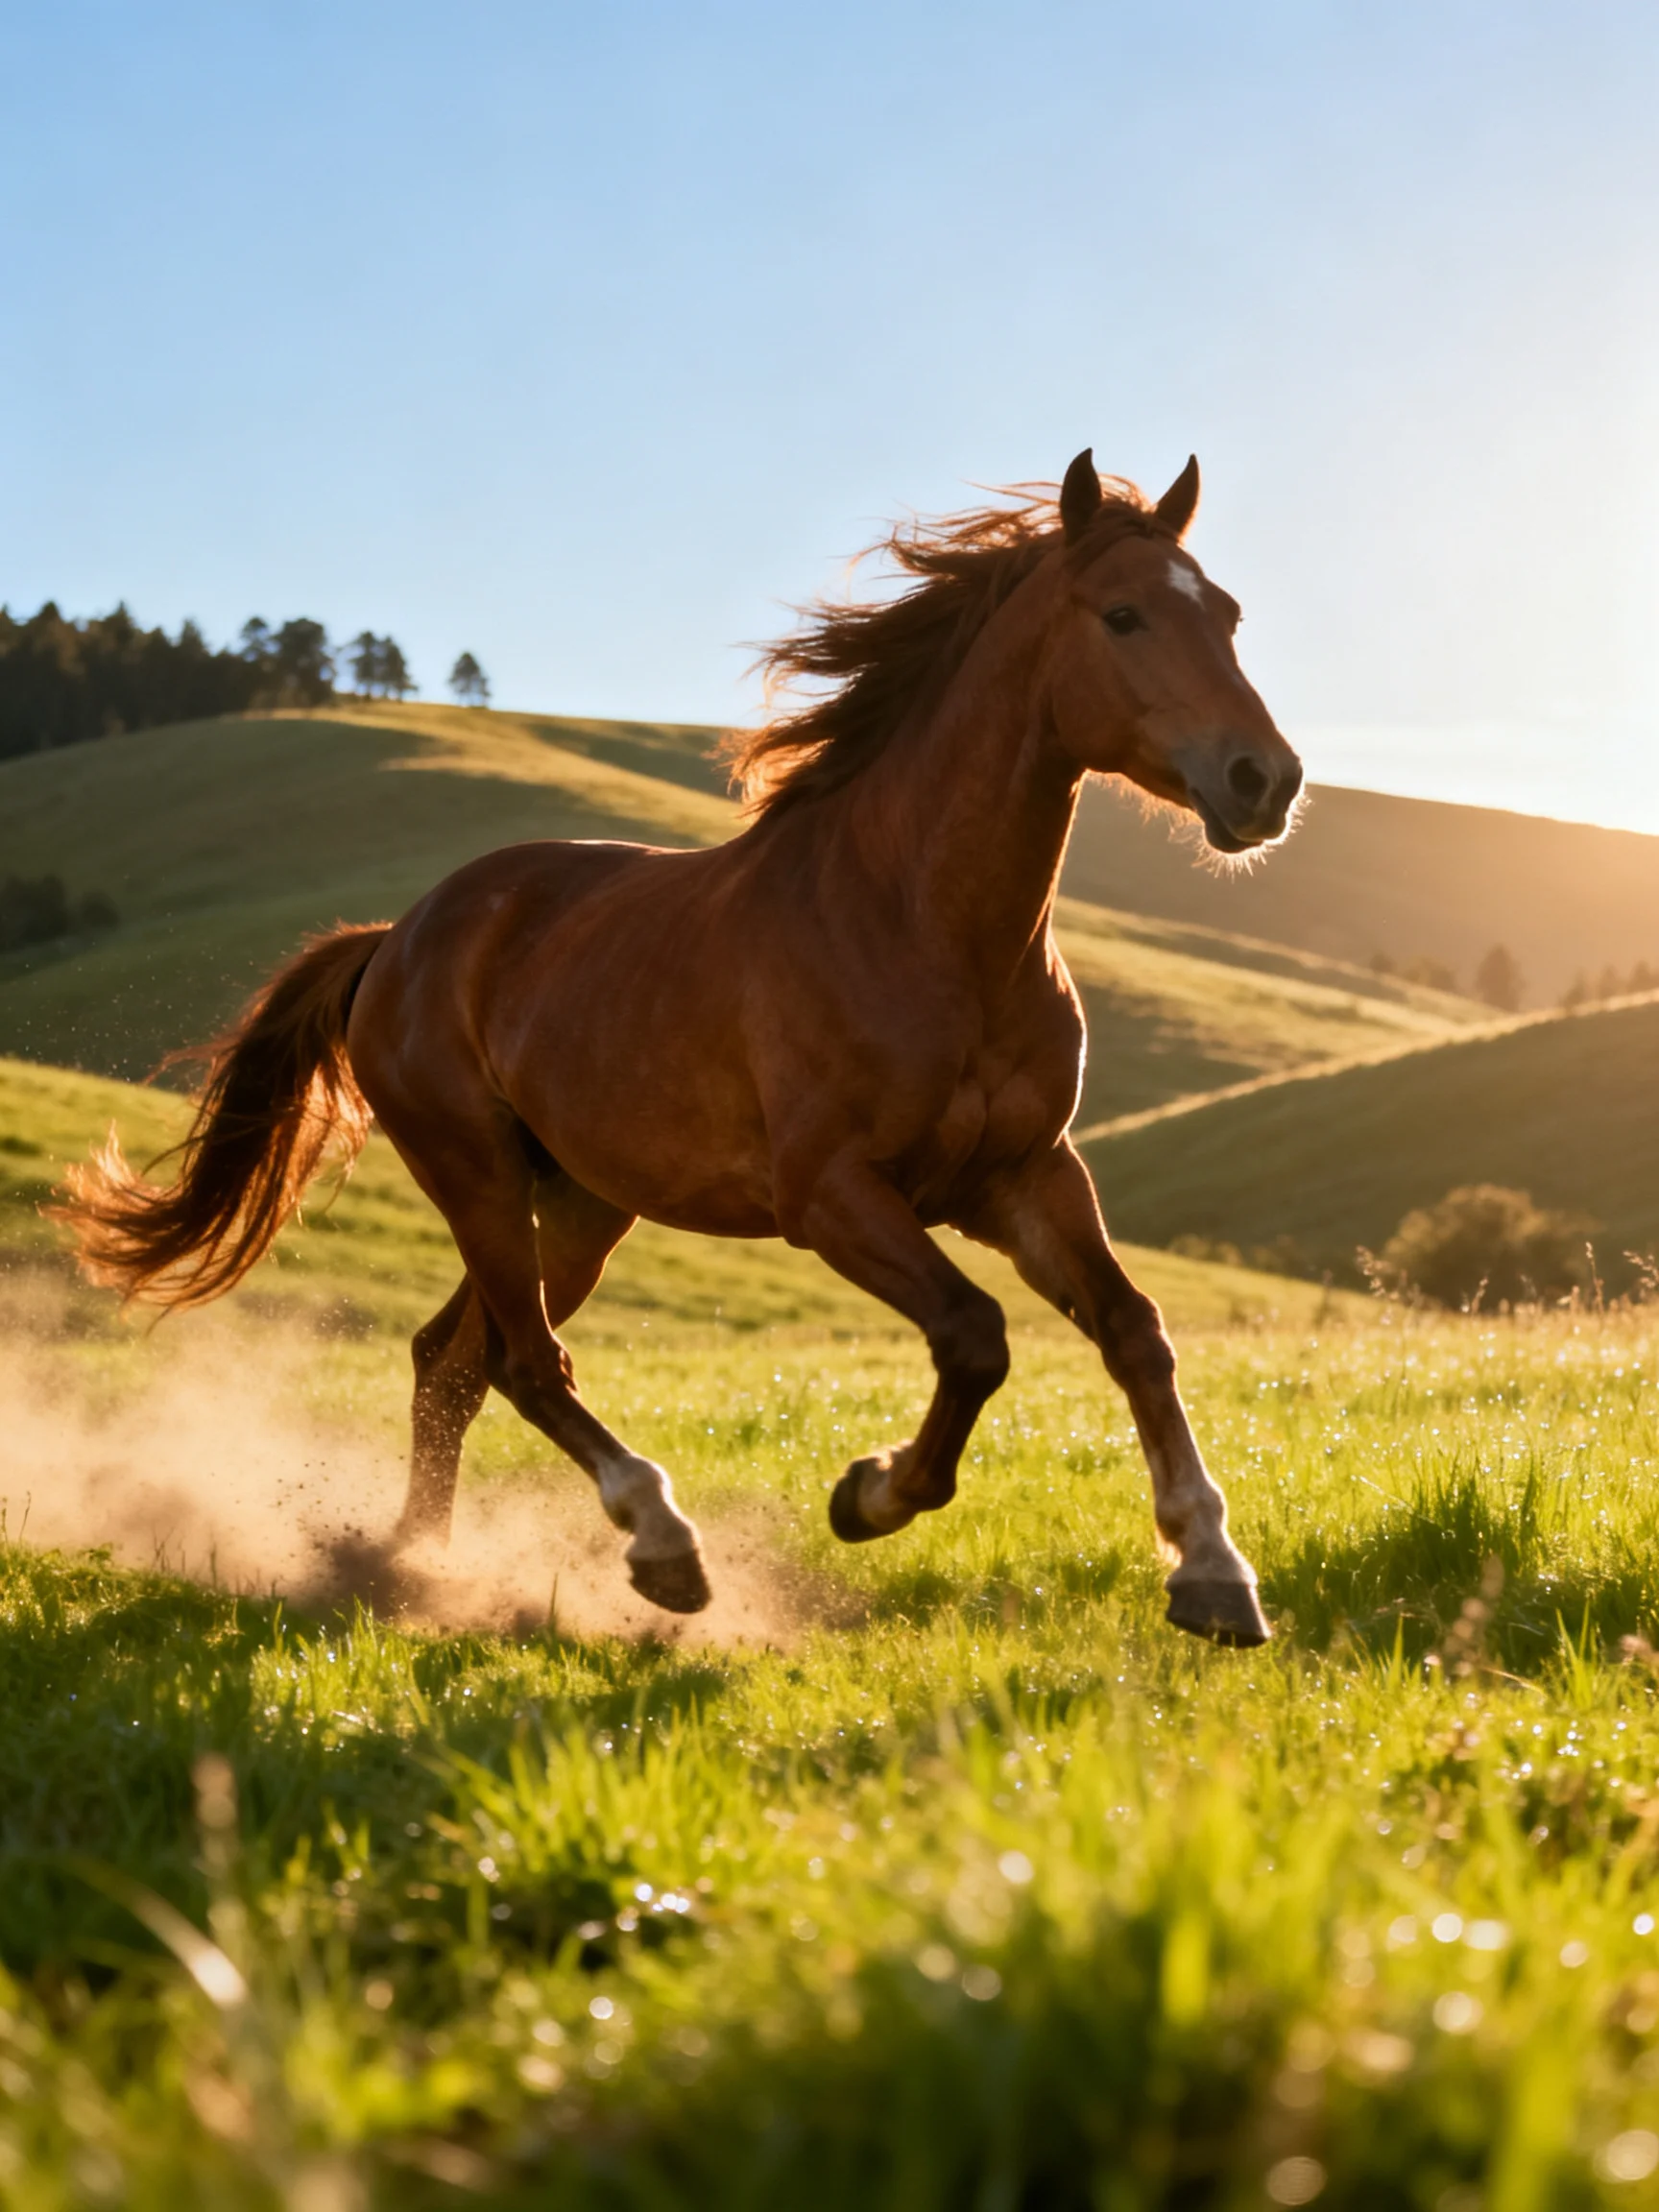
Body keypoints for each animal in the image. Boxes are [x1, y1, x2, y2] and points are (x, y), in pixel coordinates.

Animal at [59, 450, 1303, 1647]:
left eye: (1231, 613)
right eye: (1124, 616)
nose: (1266, 780)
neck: (926, 925)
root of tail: (395, 940)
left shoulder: (1024, 1176)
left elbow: (1135, 1333)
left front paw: (1214, 1575)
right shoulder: (832, 1194)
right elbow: (974, 1335)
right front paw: (870, 1495)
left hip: (577, 1204)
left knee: (450, 1362)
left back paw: (413, 1566)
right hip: (475, 1172)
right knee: (522, 1362)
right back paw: (659, 1545)